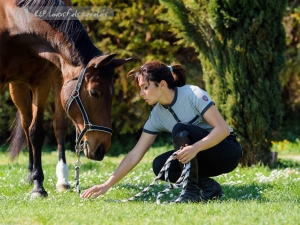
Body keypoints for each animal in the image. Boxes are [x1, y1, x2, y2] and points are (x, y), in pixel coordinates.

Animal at [0, 0, 131, 197]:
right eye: (94, 92)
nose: (102, 148)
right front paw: (37, 183)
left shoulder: (41, 80)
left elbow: (37, 132)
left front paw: (38, 186)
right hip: (17, 86)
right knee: (25, 123)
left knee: (55, 125)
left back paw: (61, 179)